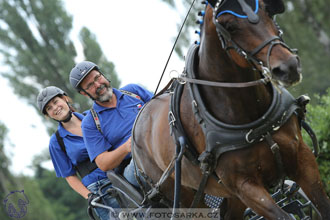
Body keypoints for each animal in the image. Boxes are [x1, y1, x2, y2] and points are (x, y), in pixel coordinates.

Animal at [131, 0, 330, 218]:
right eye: (229, 26)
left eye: (267, 11)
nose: (288, 67)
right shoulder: (244, 186)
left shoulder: (303, 158)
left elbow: (323, 205)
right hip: (187, 198)